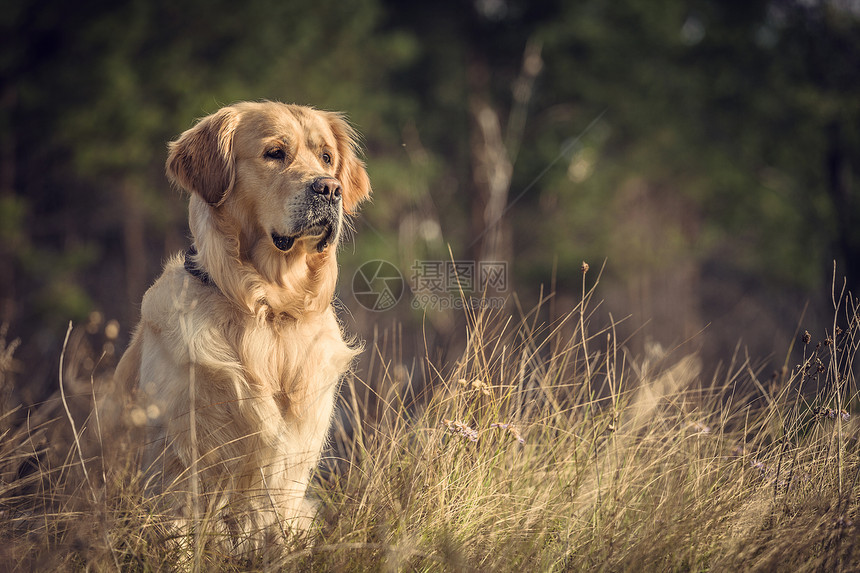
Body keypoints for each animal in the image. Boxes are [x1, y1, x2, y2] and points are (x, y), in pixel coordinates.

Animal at [114, 100, 370, 544]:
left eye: (326, 157)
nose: (330, 188)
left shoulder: (290, 472)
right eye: (274, 153)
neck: (269, 310)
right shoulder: (178, 463)